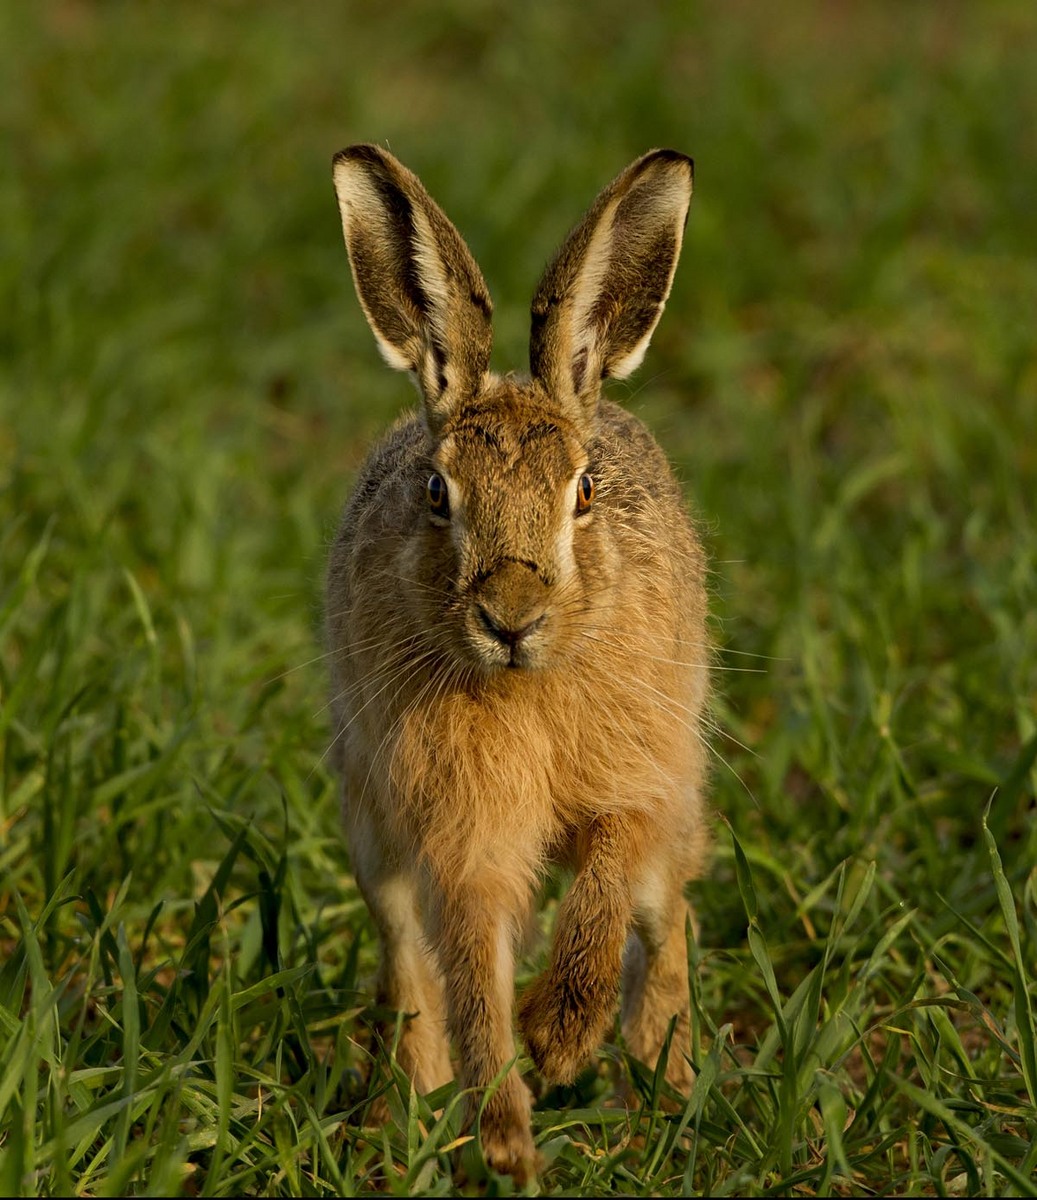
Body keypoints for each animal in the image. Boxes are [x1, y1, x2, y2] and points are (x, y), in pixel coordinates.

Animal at [326, 143, 711, 1183]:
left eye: (583, 492)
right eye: (435, 492)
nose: (511, 618)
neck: (523, 685)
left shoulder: (636, 784)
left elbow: (605, 883)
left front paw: (563, 1037)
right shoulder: (459, 831)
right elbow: (471, 973)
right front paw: (506, 1134)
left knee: (664, 930)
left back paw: (662, 1094)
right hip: (375, 834)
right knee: (411, 968)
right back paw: (414, 1118)